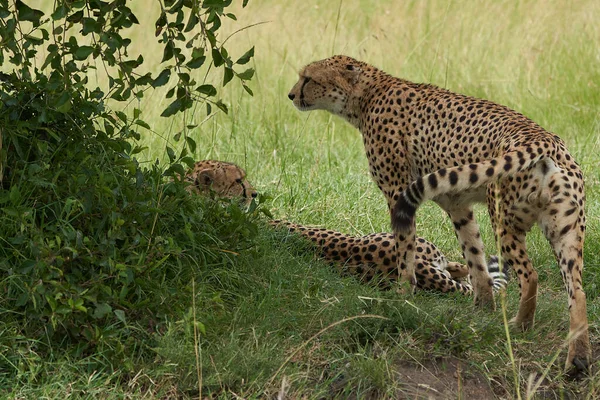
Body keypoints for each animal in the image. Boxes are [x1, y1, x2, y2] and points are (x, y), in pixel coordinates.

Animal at [290, 54, 592, 374]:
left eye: (308, 78)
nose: (291, 95)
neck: (367, 94)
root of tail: (543, 139)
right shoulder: (457, 204)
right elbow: (474, 256)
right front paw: (482, 308)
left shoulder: (398, 194)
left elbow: (405, 249)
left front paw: (403, 294)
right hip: (566, 230)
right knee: (577, 291)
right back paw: (578, 359)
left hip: (505, 221)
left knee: (531, 275)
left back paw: (521, 325)